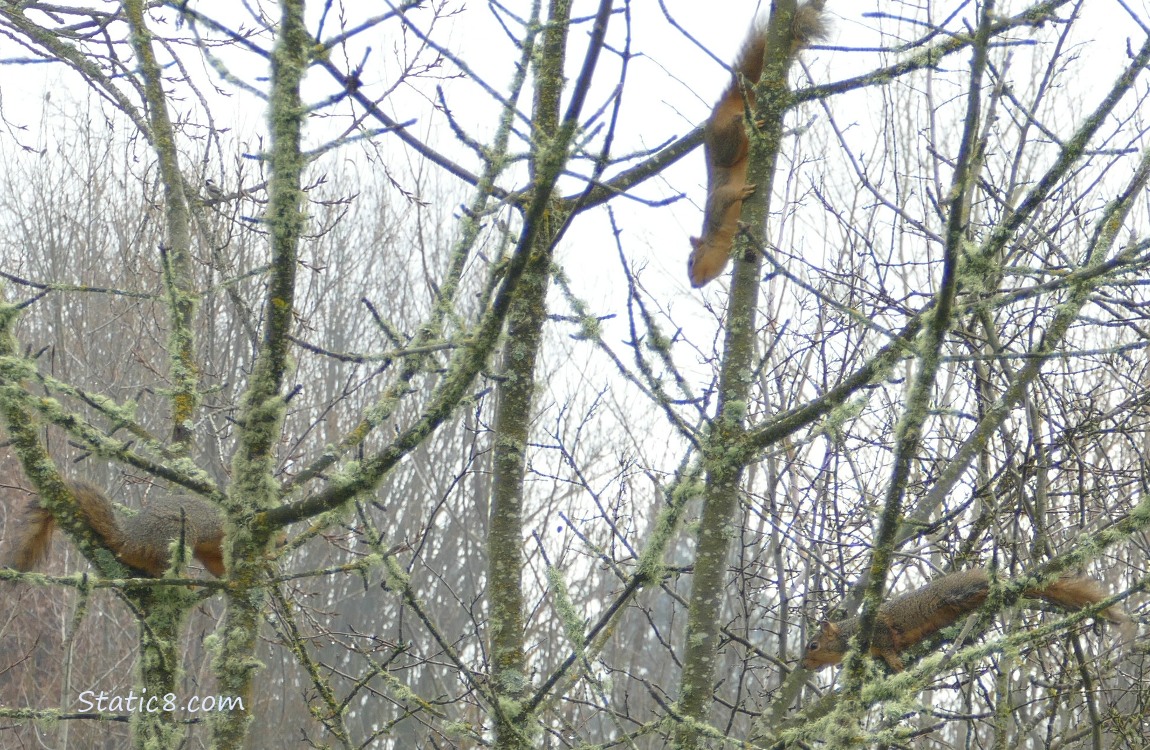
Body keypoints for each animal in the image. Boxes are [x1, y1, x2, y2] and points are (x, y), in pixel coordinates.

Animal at [688, 1, 828, 288]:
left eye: (691, 261)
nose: (694, 284)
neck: (721, 239)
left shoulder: (715, 205)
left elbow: (725, 197)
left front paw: (741, 193)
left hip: (724, 143)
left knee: (733, 136)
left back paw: (746, 121)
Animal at [803, 568, 1129, 672]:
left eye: (813, 645)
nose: (805, 667)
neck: (848, 633)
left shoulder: (879, 629)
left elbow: (888, 645)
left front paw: (894, 662)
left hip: (957, 593)